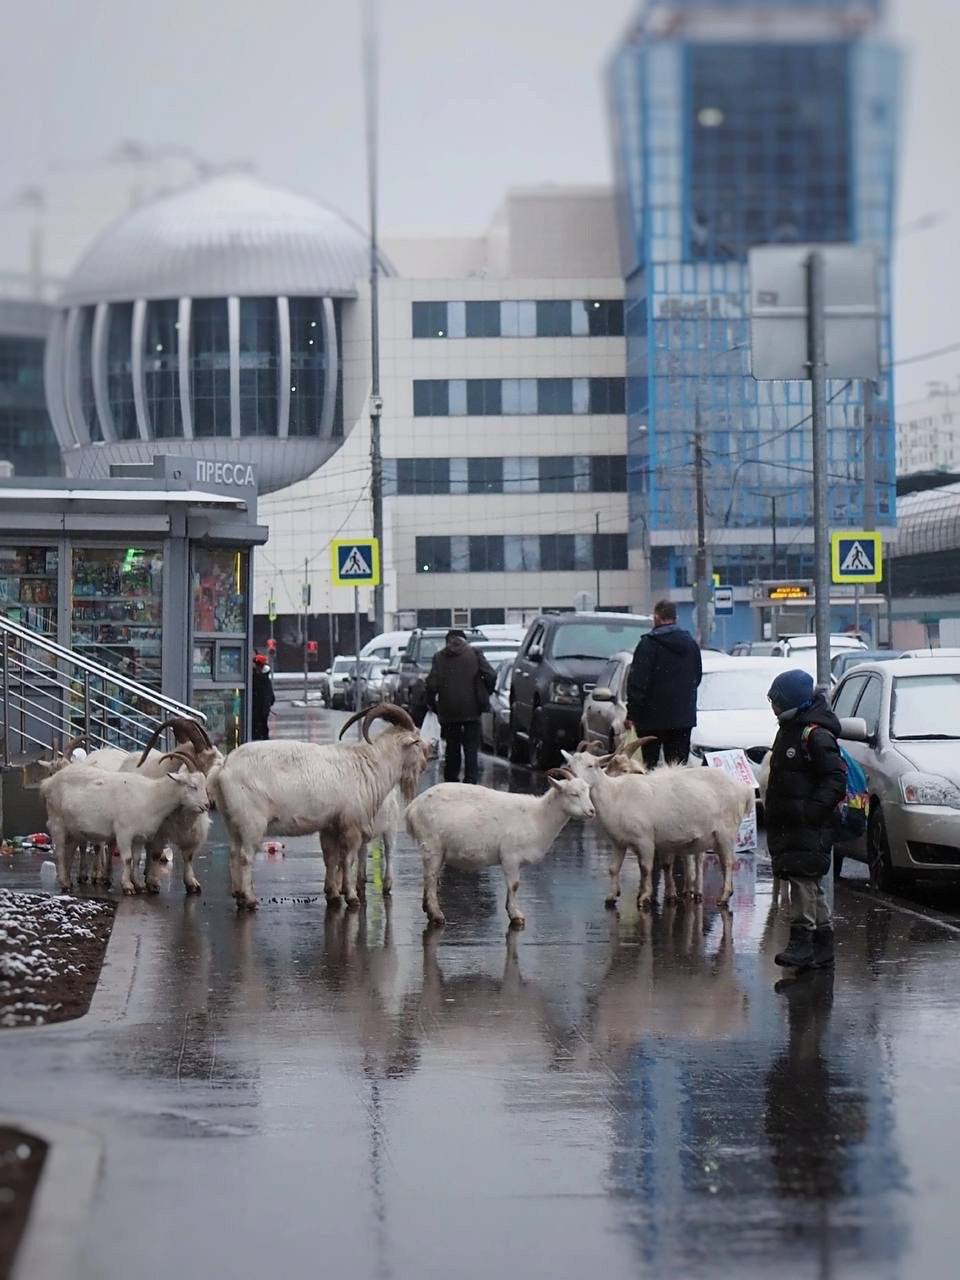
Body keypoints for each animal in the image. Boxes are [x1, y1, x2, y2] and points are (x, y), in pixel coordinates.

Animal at [40, 752, 209, 896]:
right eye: (192, 786)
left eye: (204, 785)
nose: (206, 805)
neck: (152, 795)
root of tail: (48, 783)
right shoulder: (124, 833)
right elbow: (127, 859)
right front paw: (128, 886)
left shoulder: (139, 836)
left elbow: (136, 859)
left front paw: (140, 885)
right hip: (57, 821)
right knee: (60, 852)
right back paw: (64, 883)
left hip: (73, 829)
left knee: (69, 851)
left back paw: (68, 881)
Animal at [208, 701, 430, 911]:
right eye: (417, 741)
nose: (426, 762)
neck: (369, 764)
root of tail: (223, 768)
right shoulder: (351, 825)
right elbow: (347, 859)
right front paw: (351, 897)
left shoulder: (330, 826)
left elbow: (331, 857)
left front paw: (333, 894)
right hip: (251, 822)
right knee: (245, 856)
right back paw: (250, 900)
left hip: (232, 821)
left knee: (234, 853)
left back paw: (238, 896)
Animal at [404, 762, 593, 926]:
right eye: (573, 793)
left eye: (587, 792)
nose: (591, 811)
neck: (538, 816)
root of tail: (412, 808)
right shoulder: (510, 855)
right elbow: (514, 885)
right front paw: (516, 915)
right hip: (431, 844)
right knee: (430, 878)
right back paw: (437, 915)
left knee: (431, 877)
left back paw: (428, 909)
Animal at [563, 747, 752, 911]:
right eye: (570, 766)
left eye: (591, 765)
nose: (575, 781)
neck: (614, 794)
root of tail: (743, 789)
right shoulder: (619, 842)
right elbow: (613, 868)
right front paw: (611, 896)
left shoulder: (645, 839)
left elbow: (646, 867)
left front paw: (644, 897)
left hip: (727, 832)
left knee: (728, 863)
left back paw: (723, 896)